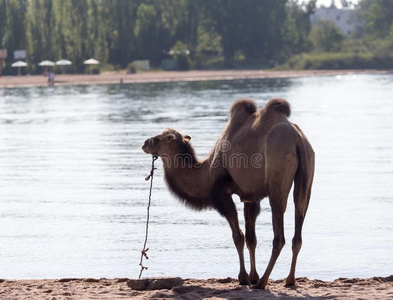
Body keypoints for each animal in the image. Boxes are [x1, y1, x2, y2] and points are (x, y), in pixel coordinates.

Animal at [142, 98, 314, 288]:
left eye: (160, 138)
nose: (145, 143)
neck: (207, 173)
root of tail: (297, 138)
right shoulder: (250, 195)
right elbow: (251, 238)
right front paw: (252, 276)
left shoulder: (222, 195)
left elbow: (238, 236)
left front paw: (244, 278)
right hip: (307, 176)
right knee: (298, 228)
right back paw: (289, 280)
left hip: (277, 181)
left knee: (279, 237)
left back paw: (263, 282)